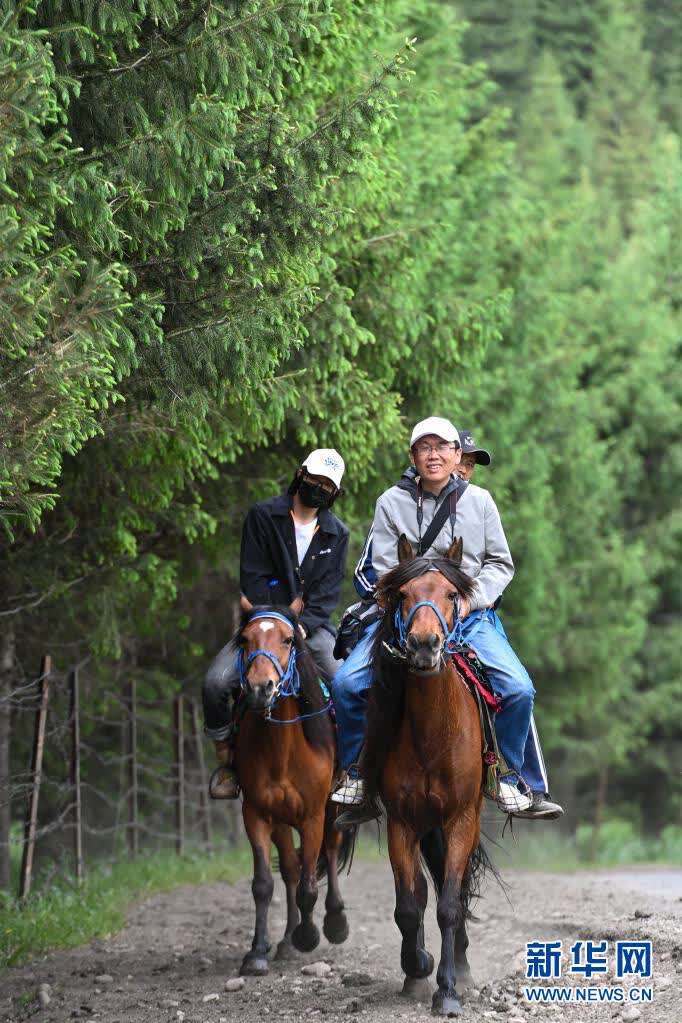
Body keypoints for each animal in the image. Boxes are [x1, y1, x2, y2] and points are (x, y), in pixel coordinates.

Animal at [235, 597, 351, 973]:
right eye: (244, 639)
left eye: (287, 640)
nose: (260, 688)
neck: (281, 749)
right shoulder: (256, 813)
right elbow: (264, 883)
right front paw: (257, 952)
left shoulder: (313, 815)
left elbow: (308, 887)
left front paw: (309, 935)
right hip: (281, 821)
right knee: (289, 868)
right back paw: (286, 939)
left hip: (333, 807)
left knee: (330, 850)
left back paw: (333, 921)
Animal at [361, 536, 490, 1014]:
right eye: (402, 594)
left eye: (452, 594)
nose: (423, 645)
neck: (434, 735)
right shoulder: (402, 822)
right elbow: (408, 905)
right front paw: (417, 968)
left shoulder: (460, 819)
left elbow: (450, 904)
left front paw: (448, 990)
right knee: (420, 889)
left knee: (455, 890)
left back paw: (462, 969)